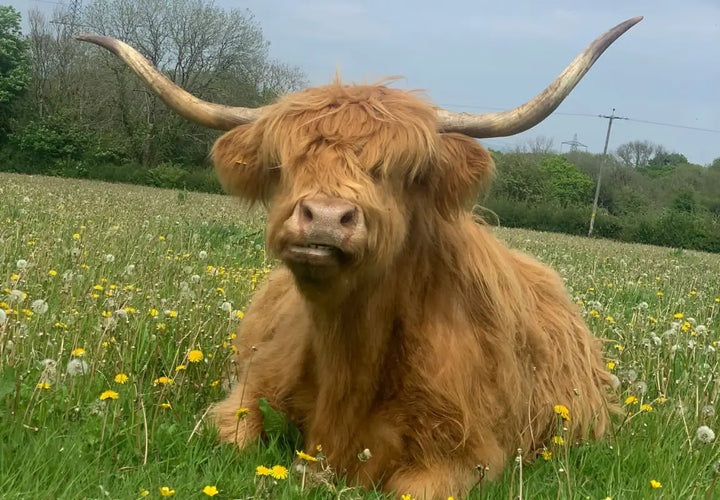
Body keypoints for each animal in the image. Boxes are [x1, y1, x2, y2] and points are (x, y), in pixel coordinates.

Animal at [79, 16, 641, 498]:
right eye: (283, 163)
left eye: (401, 170)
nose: (326, 217)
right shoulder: (243, 397)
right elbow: (233, 440)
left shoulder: (470, 456)